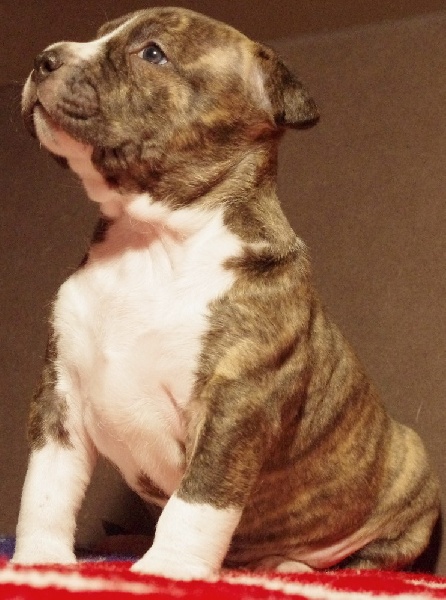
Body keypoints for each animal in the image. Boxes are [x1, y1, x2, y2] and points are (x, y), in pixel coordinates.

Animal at [13, 7, 440, 580]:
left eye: (152, 53)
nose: (44, 59)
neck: (148, 244)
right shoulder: (61, 396)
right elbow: (46, 487)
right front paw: (39, 561)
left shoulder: (235, 403)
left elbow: (199, 499)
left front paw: (168, 570)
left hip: (413, 477)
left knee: (370, 559)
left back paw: (292, 566)